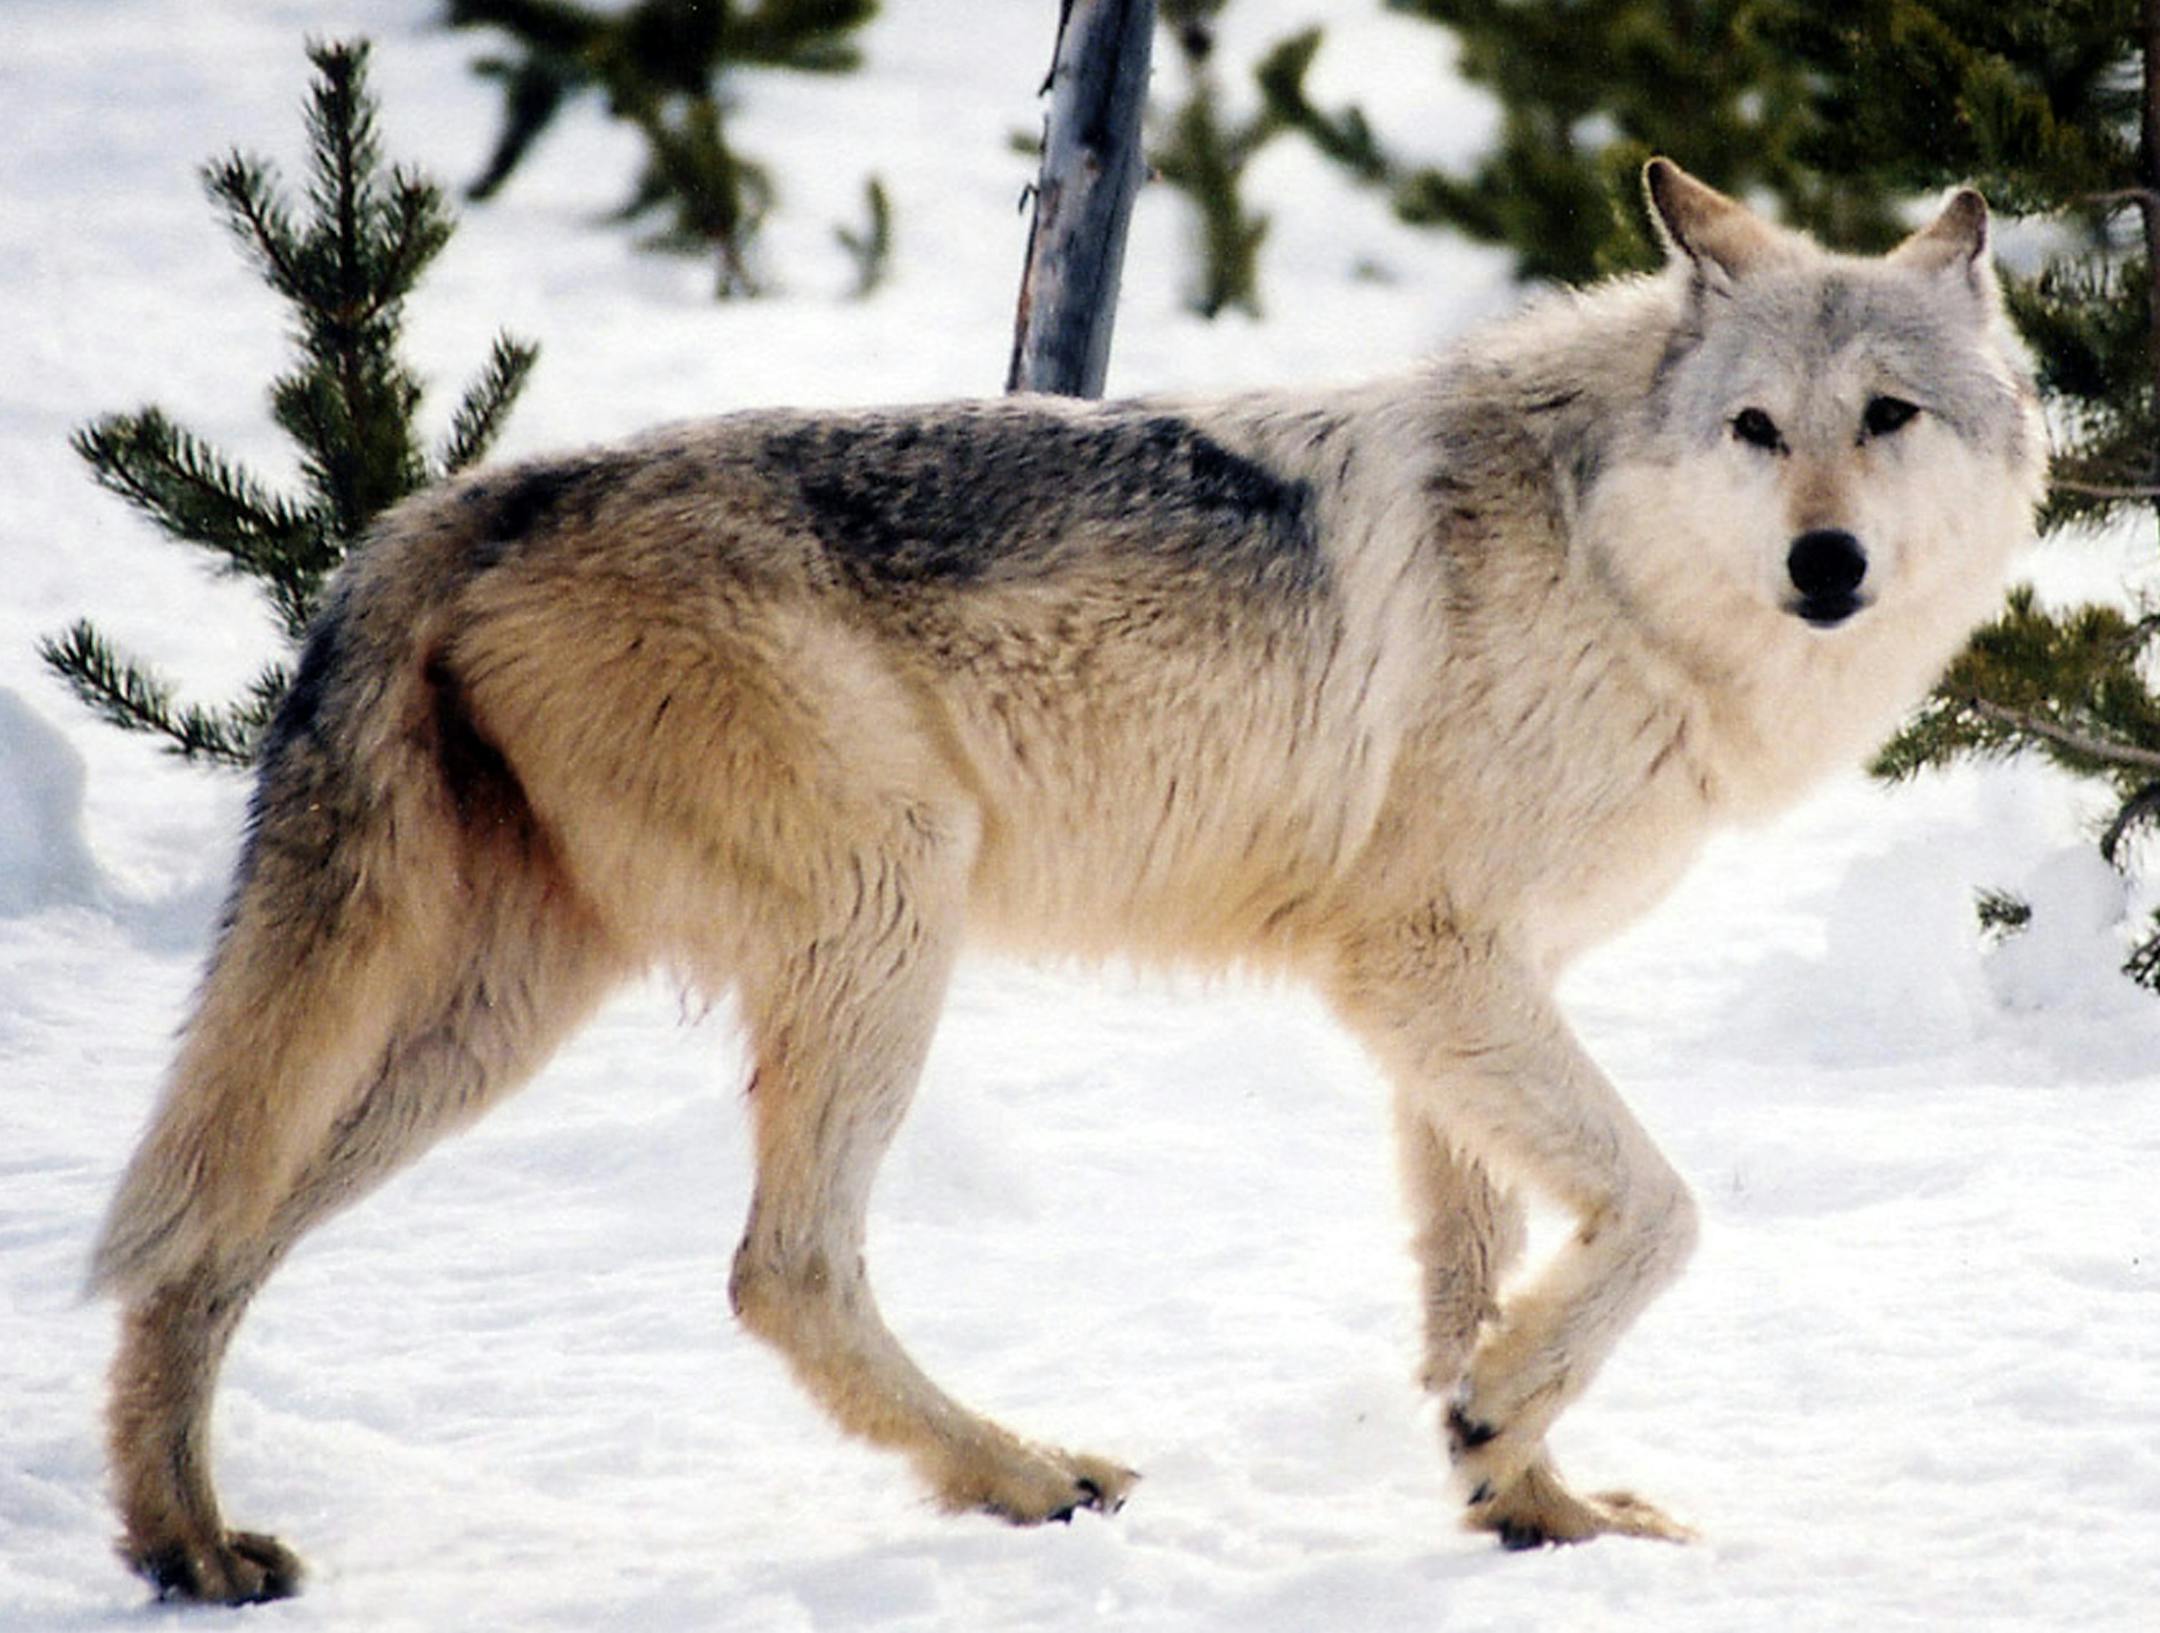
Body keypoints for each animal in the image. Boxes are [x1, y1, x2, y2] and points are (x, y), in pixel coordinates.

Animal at [89, 160, 2043, 1602]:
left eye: (1887, 416)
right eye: (1757, 428)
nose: (1826, 563)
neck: (1607, 561)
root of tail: (465, 498)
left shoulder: (1458, 990)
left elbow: (1475, 1276)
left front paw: (1525, 1496)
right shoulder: (1422, 962)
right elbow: (1657, 1211)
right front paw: (1504, 1428)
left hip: (496, 1013)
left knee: (202, 1244)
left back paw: (184, 1543)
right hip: (886, 919)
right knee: (779, 1270)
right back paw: (1020, 1475)